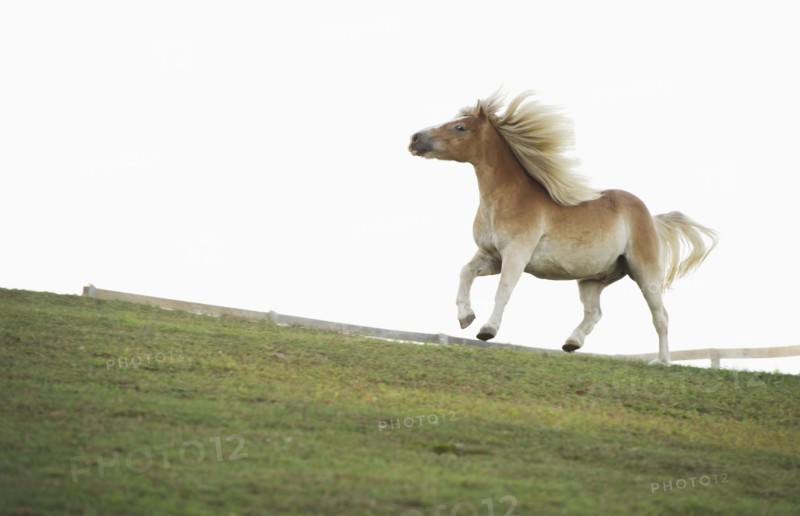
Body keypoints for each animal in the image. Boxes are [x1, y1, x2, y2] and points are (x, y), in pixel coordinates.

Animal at [408, 91, 717, 365]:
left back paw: (661, 361)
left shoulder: (516, 255)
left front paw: (486, 330)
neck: (505, 199)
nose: (414, 139)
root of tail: (650, 217)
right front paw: (465, 317)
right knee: (594, 313)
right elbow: (465, 272)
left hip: (644, 272)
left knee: (660, 316)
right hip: (592, 279)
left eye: (460, 127)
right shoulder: (491, 256)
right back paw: (571, 343)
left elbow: (503, 291)